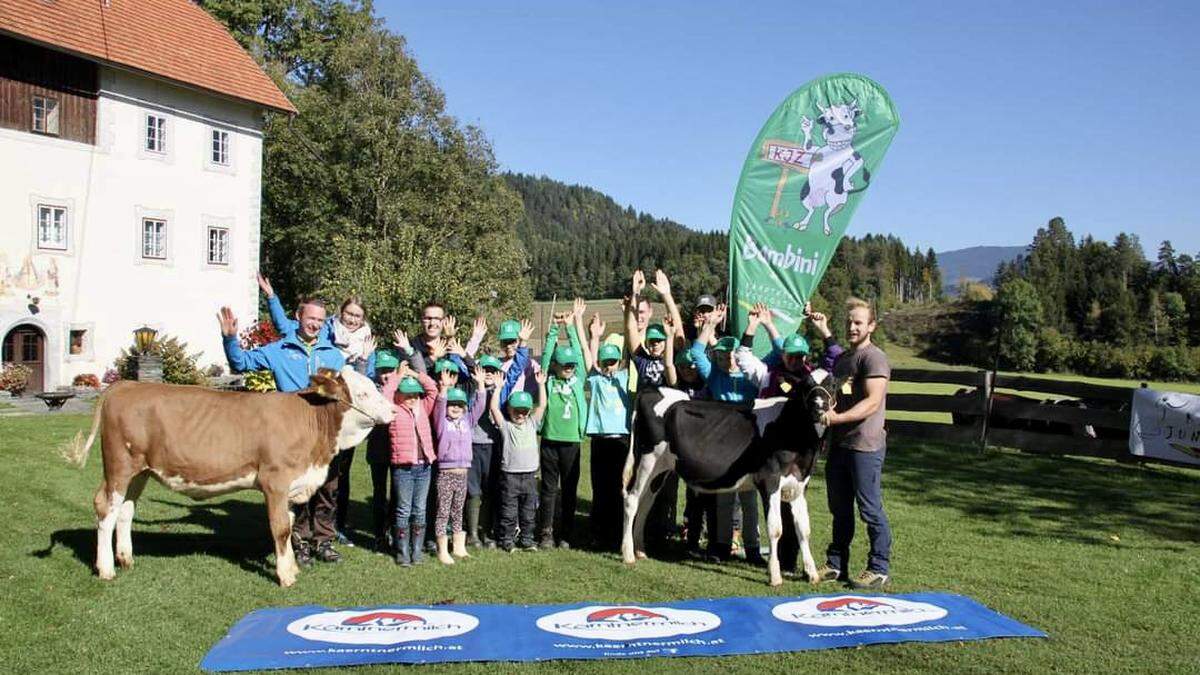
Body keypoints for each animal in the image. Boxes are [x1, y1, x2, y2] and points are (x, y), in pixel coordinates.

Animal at [64, 367, 393, 583]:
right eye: (363, 392)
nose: (392, 410)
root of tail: (126, 385)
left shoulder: (291, 486)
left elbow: (287, 525)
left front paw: (291, 567)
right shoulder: (275, 481)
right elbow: (280, 528)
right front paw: (285, 576)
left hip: (140, 472)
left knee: (125, 511)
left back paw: (126, 558)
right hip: (119, 466)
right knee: (106, 508)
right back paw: (106, 568)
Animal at [624, 367, 840, 583]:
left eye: (833, 385)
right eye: (805, 386)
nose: (819, 408)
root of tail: (651, 390)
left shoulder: (799, 485)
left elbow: (803, 529)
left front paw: (812, 573)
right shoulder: (769, 479)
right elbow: (775, 528)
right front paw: (775, 575)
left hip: (660, 469)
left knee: (646, 502)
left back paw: (640, 550)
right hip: (647, 459)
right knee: (631, 500)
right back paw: (628, 554)